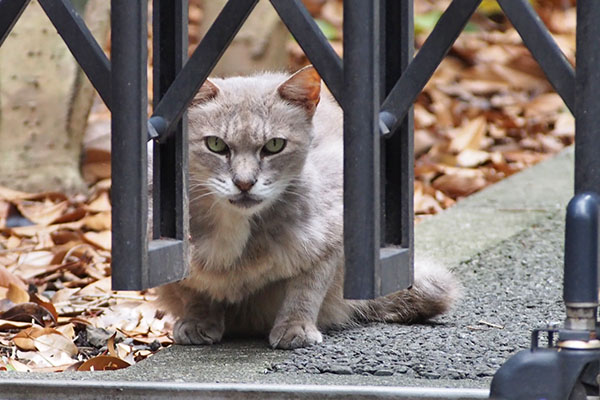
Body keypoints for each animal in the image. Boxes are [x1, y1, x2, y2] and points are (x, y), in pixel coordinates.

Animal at [157, 66, 458, 350]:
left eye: (274, 145)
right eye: (216, 144)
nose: (244, 183)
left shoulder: (330, 238)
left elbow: (306, 289)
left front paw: (295, 327)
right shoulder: (176, 256)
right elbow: (192, 288)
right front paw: (198, 321)